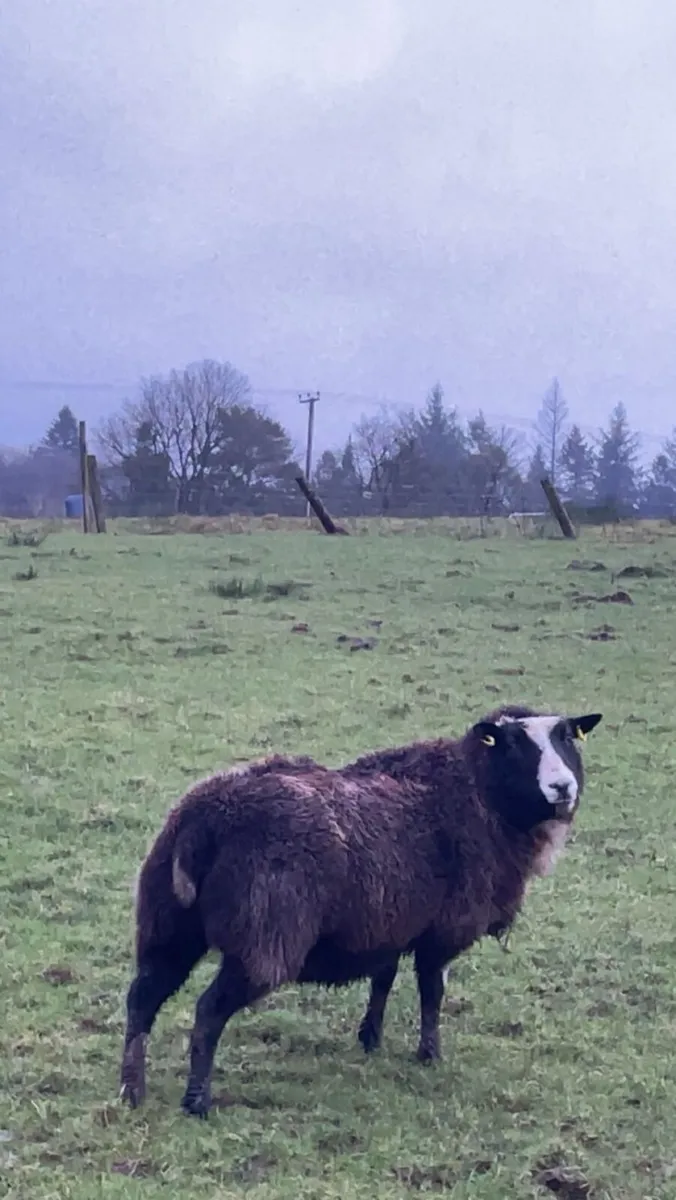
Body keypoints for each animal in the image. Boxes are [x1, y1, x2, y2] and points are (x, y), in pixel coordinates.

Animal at [118, 703, 603, 1117]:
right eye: (515, 744)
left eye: (566, 737)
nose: (563, 788)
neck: (479, 794)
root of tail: (205, 819)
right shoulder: (443, 930)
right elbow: (432, 992)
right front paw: (429, 1055)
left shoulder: (385, 923)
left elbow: (382, 978)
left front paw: (370, 1037)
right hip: (264, 939)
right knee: (207, 1012)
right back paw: (196, 1101)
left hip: (167, 926)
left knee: (142, 999)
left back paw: (131, 1089)